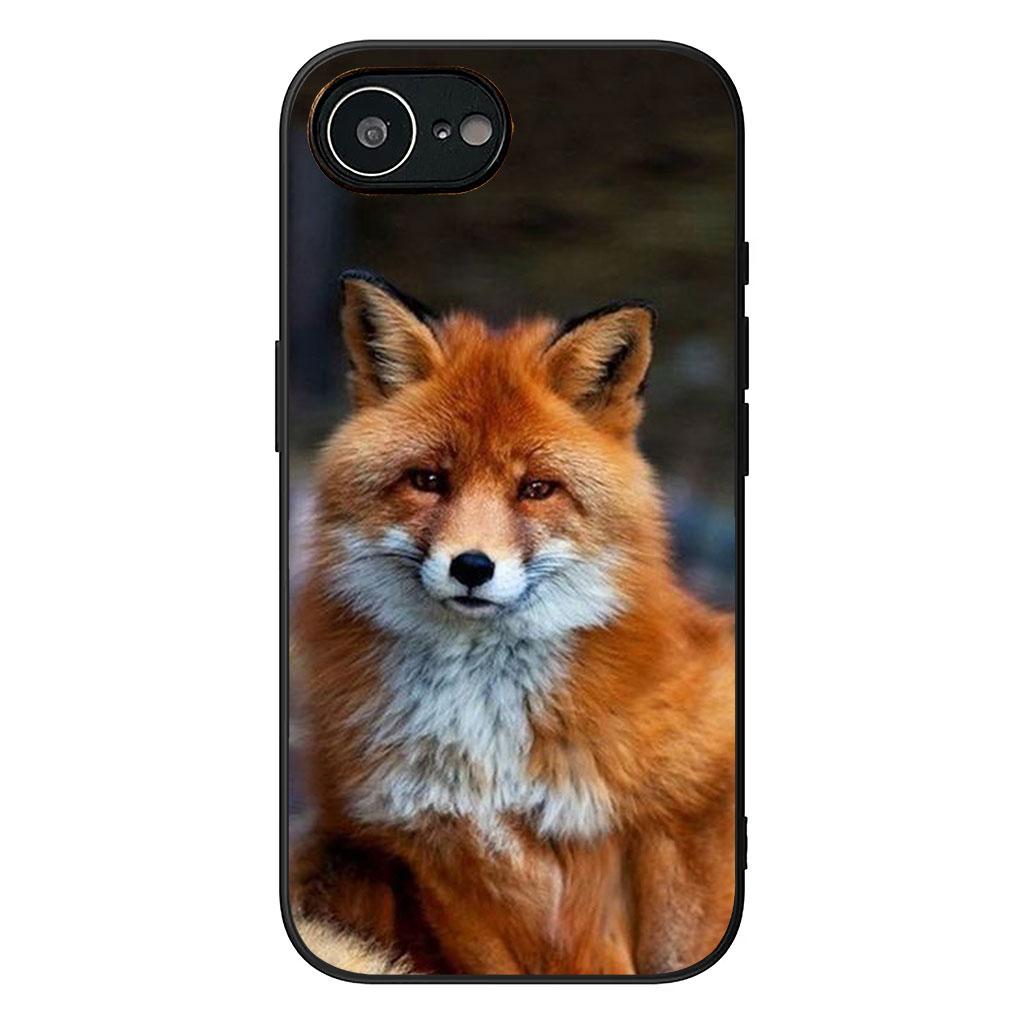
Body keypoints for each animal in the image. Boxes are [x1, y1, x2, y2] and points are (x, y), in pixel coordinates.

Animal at [289, 270, 736, 975]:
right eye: (428, 480)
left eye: (536, 490)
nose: (472, 567)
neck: (491, 746)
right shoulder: (441, 859)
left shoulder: (684, 810)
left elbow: (682, 940)